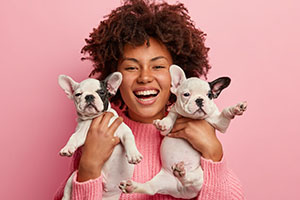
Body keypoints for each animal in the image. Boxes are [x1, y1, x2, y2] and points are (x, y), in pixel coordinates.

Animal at [59, 72, 144, 200]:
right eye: (78, 94)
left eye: (102, 92)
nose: (89, 96)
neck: (94, 118)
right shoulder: (81, 132)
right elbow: (73, 137)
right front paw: (67, 148)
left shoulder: (123, 130)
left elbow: (129, 138)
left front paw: (134, 155)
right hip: (74, 176)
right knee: (68, 191)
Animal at [118, 65, 247, 198]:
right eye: (186, 94)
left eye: (209, 95)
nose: (199, 100)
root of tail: (180, 191)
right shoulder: (171, 118)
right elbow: (171, 116)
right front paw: (163, 123)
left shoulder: (219, 122)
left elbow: (225, 113)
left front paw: (235, 108)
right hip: (161, 181)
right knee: (150, 188)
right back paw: (132, 186)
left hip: (200, 176)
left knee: (192, 181)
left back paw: (181, 172)